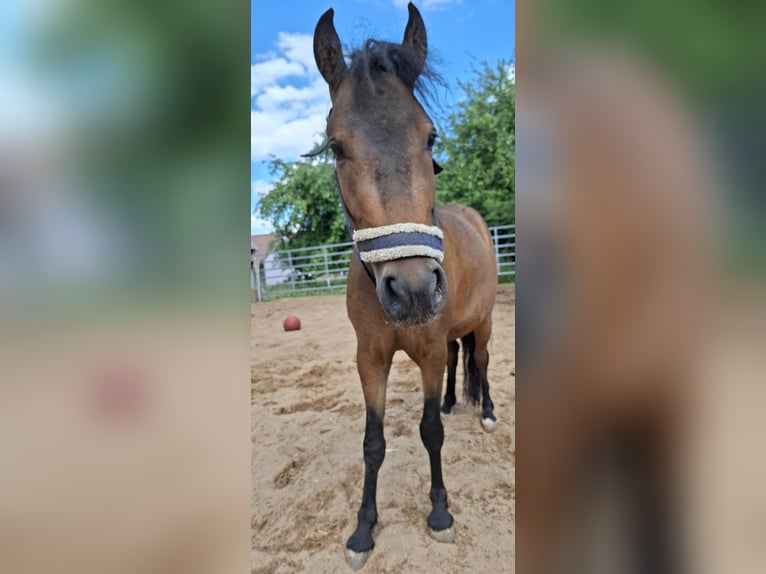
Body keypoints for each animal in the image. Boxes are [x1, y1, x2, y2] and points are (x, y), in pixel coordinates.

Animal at [310, 3, 499, 569]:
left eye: (430, 137)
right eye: (336, 147)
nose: (413, 289)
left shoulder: (429, 352)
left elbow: (430, 432)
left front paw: (439, 513)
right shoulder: (370, 359)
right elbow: (373, 443)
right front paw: (362, 529)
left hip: (485, 321)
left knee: (482, 359)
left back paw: (485, 411)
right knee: (463, 358)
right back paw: (456, 400)